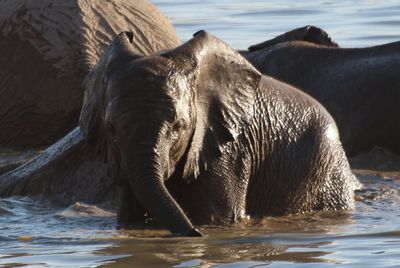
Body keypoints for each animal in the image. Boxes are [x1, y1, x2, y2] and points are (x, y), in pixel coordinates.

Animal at [0, 30, 362, 237]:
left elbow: (217, 216)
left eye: (179, 128)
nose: (195, 235)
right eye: (112, 128)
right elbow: (130, 215)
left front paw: (207, 229)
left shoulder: (228, 149)